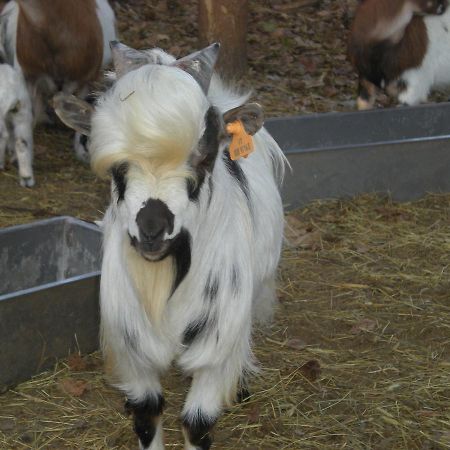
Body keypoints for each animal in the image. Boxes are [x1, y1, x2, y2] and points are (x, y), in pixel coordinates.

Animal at [54, 42, 286, 450]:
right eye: (115, 163)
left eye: (205, 155)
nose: (152, 229)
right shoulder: (132, 347)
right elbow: (147, 414)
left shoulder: (217, 342)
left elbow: (198, 422)